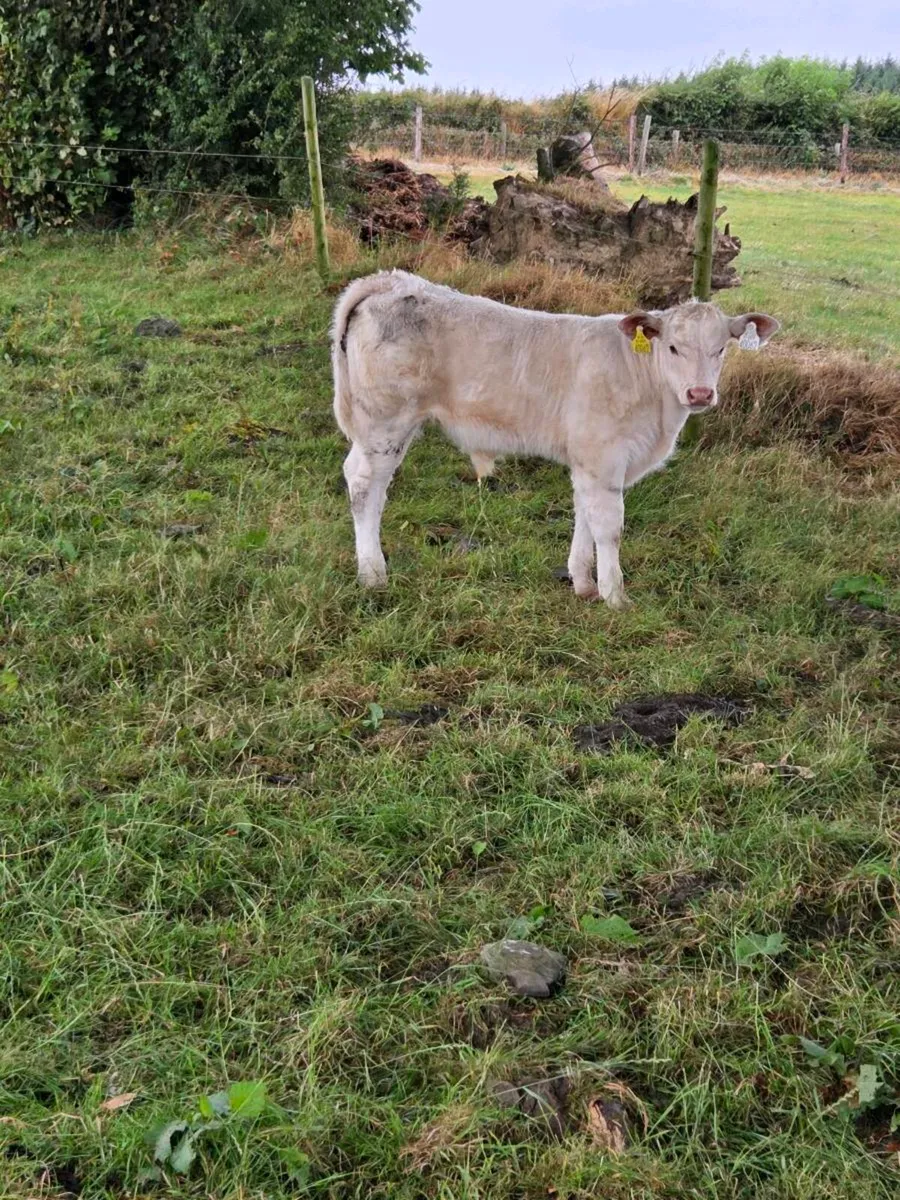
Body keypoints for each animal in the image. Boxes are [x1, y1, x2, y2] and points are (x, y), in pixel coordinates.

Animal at [331, 270, 778, 609]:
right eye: (672, 347)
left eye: (721, 349)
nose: (700, 394)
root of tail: (392, 280)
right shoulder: (604, 458)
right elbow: (609, 527)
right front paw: (616, 597)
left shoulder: (588, 462)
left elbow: (584, 515)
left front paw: (583, 583)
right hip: (386, 420)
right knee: (365, 485)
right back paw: (373, 573)